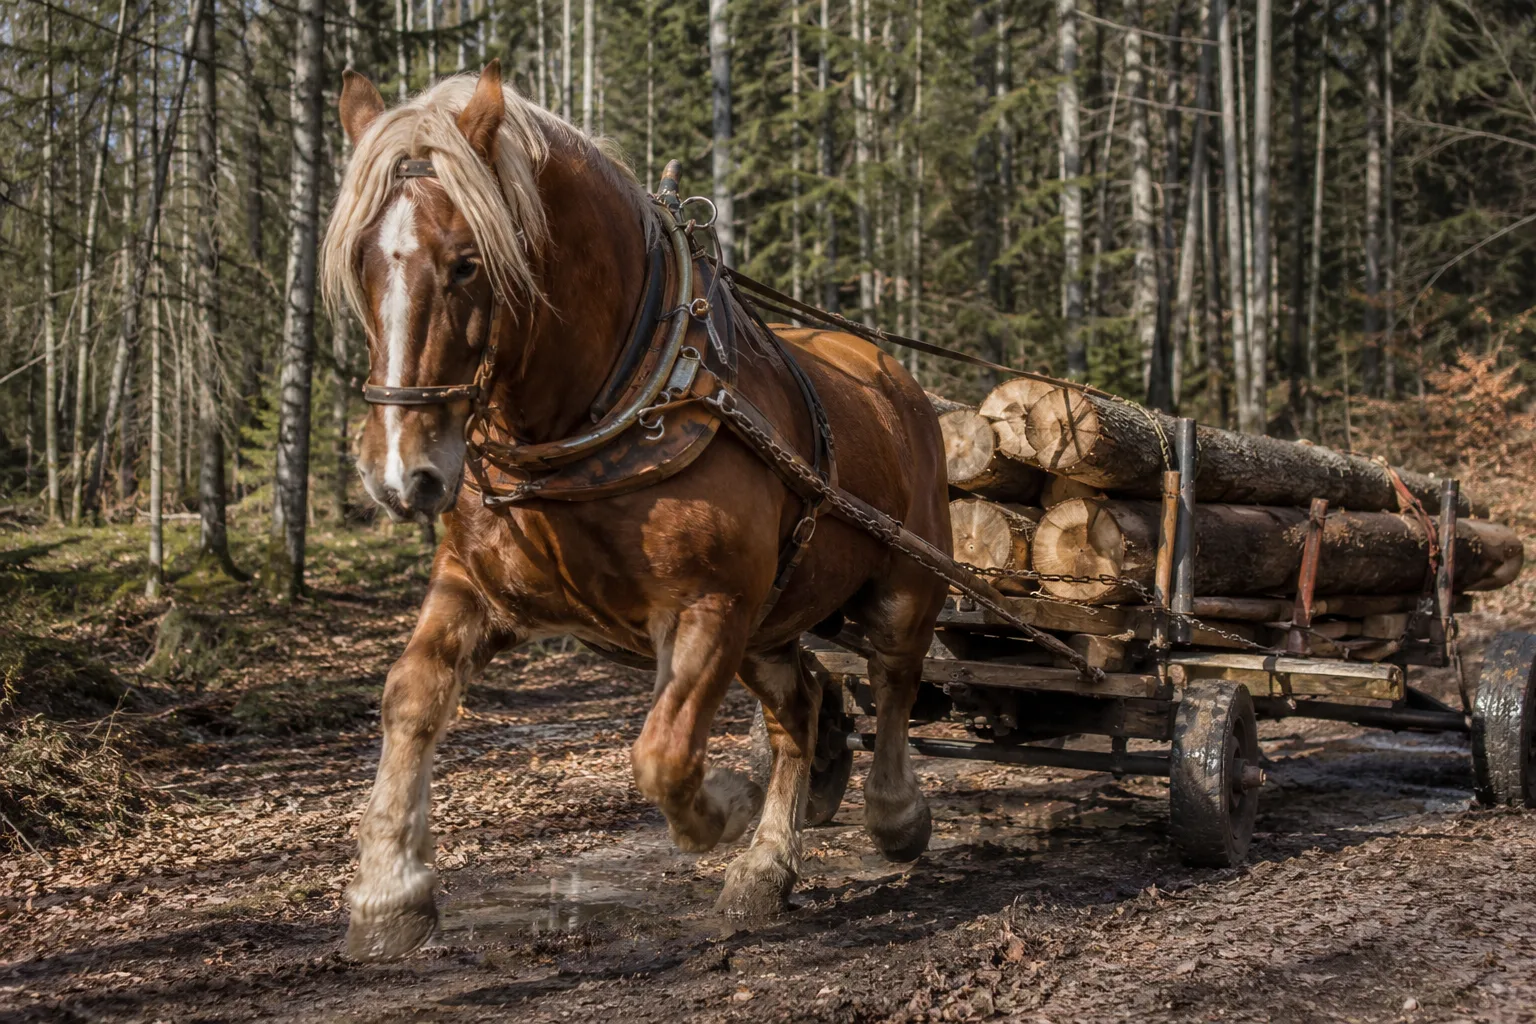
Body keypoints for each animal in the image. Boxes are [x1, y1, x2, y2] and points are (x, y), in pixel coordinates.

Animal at [322, 61, 950, 961]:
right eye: (363, 261)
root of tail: (897, 378)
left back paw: (893, 814)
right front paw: (389, 893)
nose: (399, 473)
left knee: (895, 677)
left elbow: (663, 754)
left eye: (467, 264)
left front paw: (724, 804)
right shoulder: (477, 588)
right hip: (772, 619)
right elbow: (411, 694)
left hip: (902, 579)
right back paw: (767, 866)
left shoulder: (710, 607)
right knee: (799, 705)